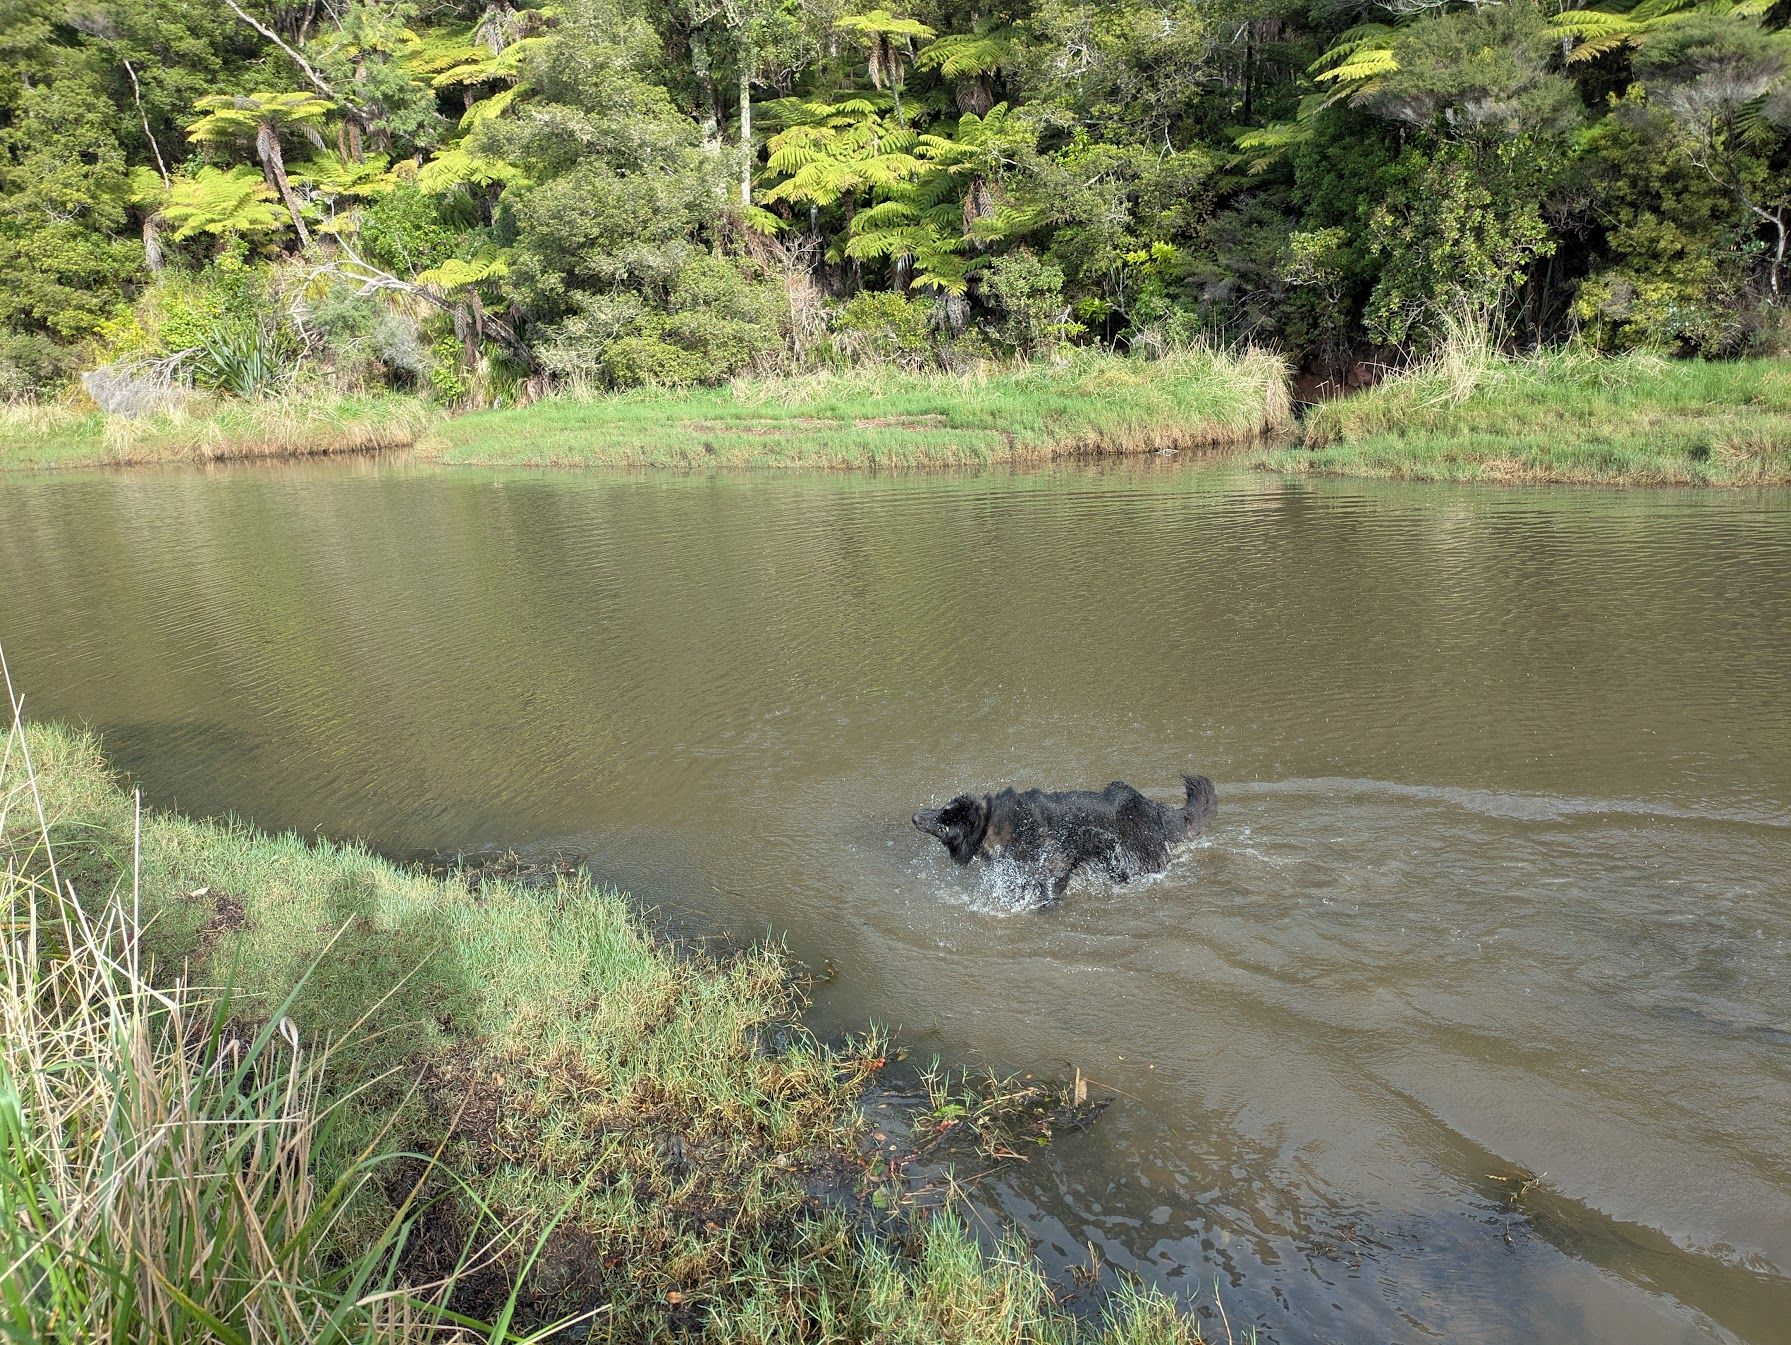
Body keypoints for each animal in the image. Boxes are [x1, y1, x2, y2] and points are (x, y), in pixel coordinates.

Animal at [912, 773, 1217, 905]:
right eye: (941, 810)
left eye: (943, 826)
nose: (915, 816)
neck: (999, 824)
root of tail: (1150, 807)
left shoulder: (1055, 866)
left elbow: (1048, 894)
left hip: (1134, 864)